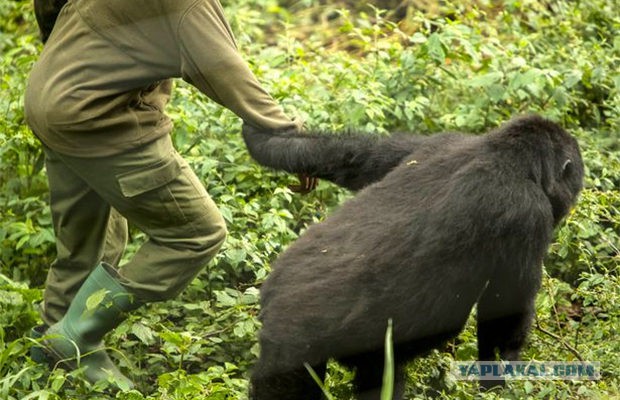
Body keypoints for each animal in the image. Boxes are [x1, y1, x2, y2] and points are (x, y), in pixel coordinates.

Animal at [240, 114, 584, 398]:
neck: (505, 154)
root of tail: (270, 302)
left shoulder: (439, 141)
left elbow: (355, 157)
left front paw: (267, 140)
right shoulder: (528, 215)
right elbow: (504, 321)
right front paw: (498, 385)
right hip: (292, 342)